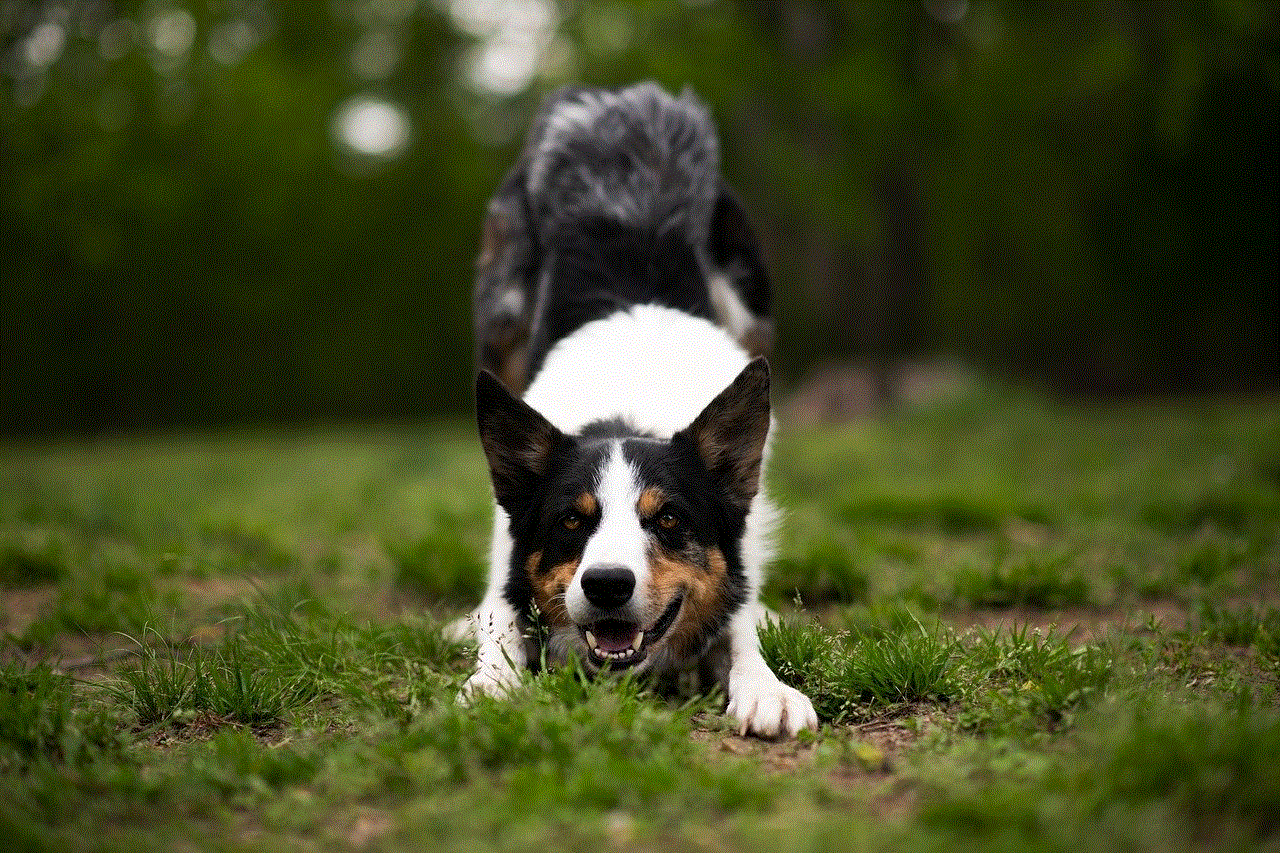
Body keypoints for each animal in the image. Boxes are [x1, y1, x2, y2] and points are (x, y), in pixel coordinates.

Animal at [465, 83, 814, 732]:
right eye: (571, 522)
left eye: (669, 519)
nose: (606, 585)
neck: (624, 407)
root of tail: (619, 97)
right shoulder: (509, 551)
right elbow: (500, 618)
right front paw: (492, 683)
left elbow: (741, 622)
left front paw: (767, 687)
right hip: (501, 313)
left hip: (751, 304)